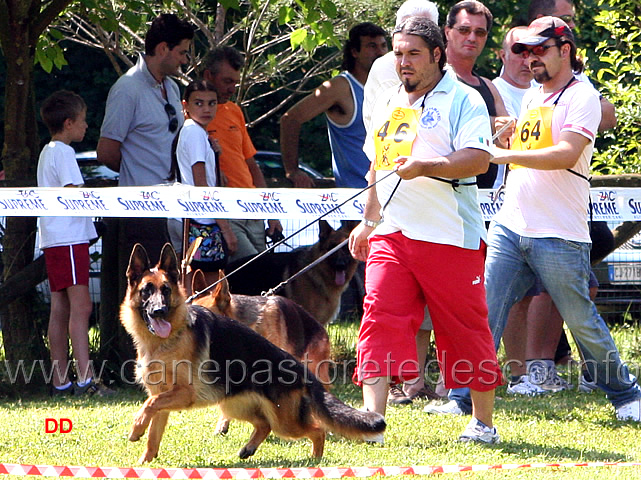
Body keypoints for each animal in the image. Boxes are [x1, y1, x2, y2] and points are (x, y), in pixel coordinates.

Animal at [120, 246, 382, 464]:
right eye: (146, 291)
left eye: (165, 290)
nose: (159, 311)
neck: (166, 341)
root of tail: (300, 370)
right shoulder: (163, 397)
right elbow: (153, 433)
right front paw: (144, 462)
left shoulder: (183, 393)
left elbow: (149, 405)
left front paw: (135, 429)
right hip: (234, 406)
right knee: (265, 424)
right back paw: (250, 448)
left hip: (285, 422)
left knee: (316, 430)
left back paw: (315, 460)